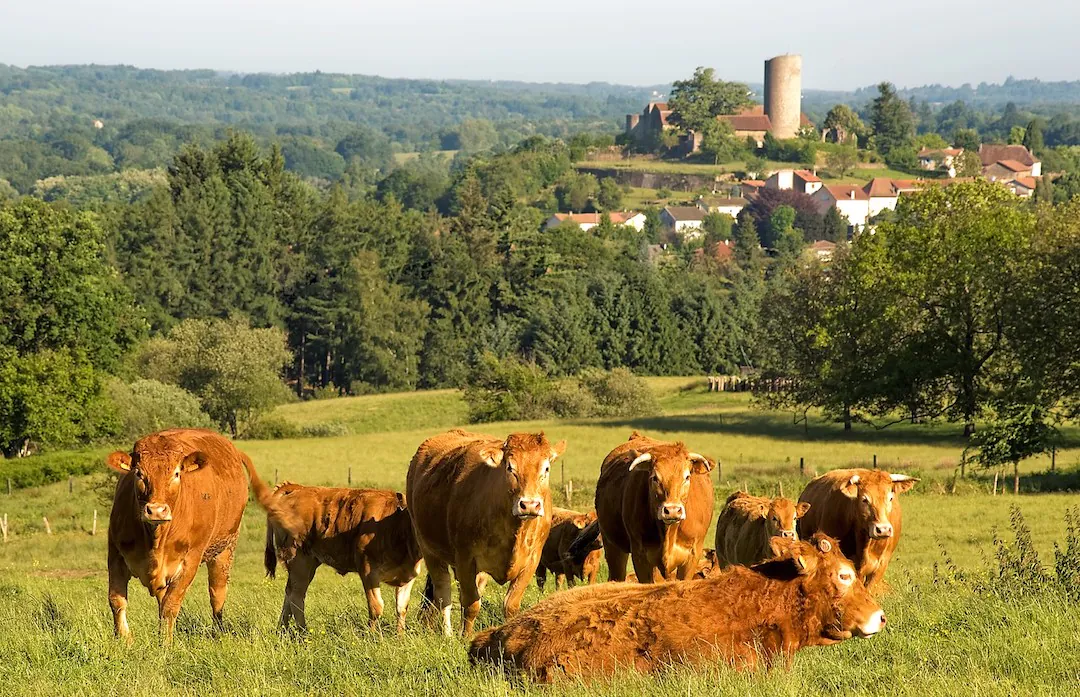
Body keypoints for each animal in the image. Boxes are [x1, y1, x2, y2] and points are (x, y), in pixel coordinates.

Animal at [104, 425, 258, 639]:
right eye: (139, 474)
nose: (157, 510)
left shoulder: (189, 561)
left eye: (176, 474)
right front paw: (125, 640)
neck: (155, 540)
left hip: (226, 547)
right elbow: (116, 600)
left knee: (217, 593)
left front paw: (165, 643)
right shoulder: (115, 554)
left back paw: (218, 631)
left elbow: (170, 606)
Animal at [253, 481, 421, 635]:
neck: (394, 527)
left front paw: (400, 637)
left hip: (308, 564)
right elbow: (376, 607)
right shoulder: (368, 571)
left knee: (289, 592)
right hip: (299, 560)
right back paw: (303, 633)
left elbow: (401, 608)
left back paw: (282, 630)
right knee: (297, 595)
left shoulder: (408, 576)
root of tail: (299, 488)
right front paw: (373, 637)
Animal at [401, 425, 561, 635]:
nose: (529, 505)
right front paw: (465, 636)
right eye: (510, 467)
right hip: (429, 550)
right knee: (443, 593)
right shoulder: (465, 558)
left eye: (546, 468)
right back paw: (448, 633)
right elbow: (471, 604)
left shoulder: (532, 560)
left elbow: (510, 605)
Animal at [587, 430, 712, 583]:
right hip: (612, 545)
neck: (669, 533)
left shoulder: (692, 555)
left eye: (687, 477)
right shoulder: (641, 556)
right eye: (655, 478)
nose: (672, 511)